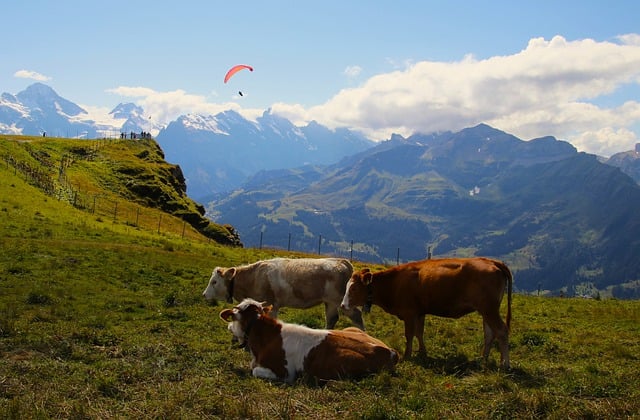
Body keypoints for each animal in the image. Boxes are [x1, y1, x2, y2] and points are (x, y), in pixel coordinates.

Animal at [202, 258, 362, 330]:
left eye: (214, 282)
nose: (204, 295)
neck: (254, 278)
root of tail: (342, 261)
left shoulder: (270, 303)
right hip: (329, 302)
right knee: (332, 319)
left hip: (340, 300)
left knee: (356, 315)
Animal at [221, 296, 400, 382]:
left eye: (233, 318)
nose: (228, 327)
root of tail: (390, 350)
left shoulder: (285, 373)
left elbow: (255, 371)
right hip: (351, 329)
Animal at [340, 256, 516, 368]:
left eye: (354, 288)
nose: (342, 305)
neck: (394, 283)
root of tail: (491, 261)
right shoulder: (420, 312)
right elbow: (419, 333)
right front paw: (422, 353)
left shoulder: (409, 313)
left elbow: (409, 334)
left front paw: (407, 355)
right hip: (486, 311)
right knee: (490, 333)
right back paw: (483, 359)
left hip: (489, 309)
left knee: (501, 330)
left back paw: (505, 363)